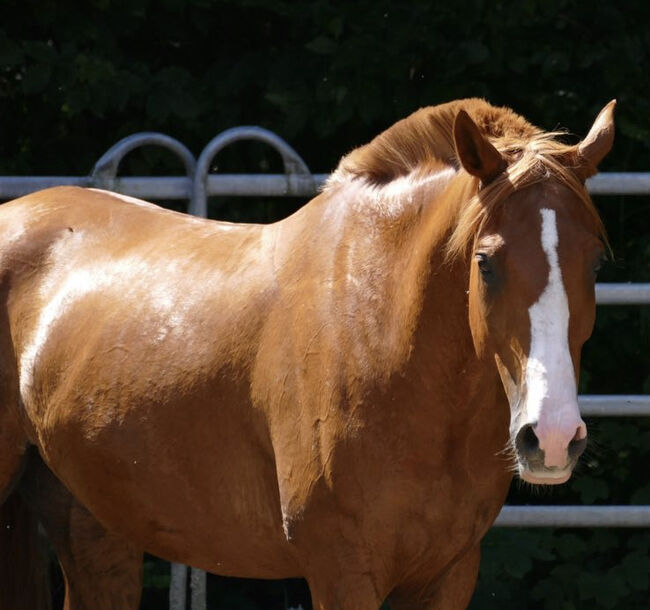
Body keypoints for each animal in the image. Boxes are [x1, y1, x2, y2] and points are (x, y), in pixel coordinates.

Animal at [0, 97, 612, 604]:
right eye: (485, 262)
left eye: (595, 262)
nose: (552, 438)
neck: (380, 337)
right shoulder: (342, 571)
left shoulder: (448, 574)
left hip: (95, 526)